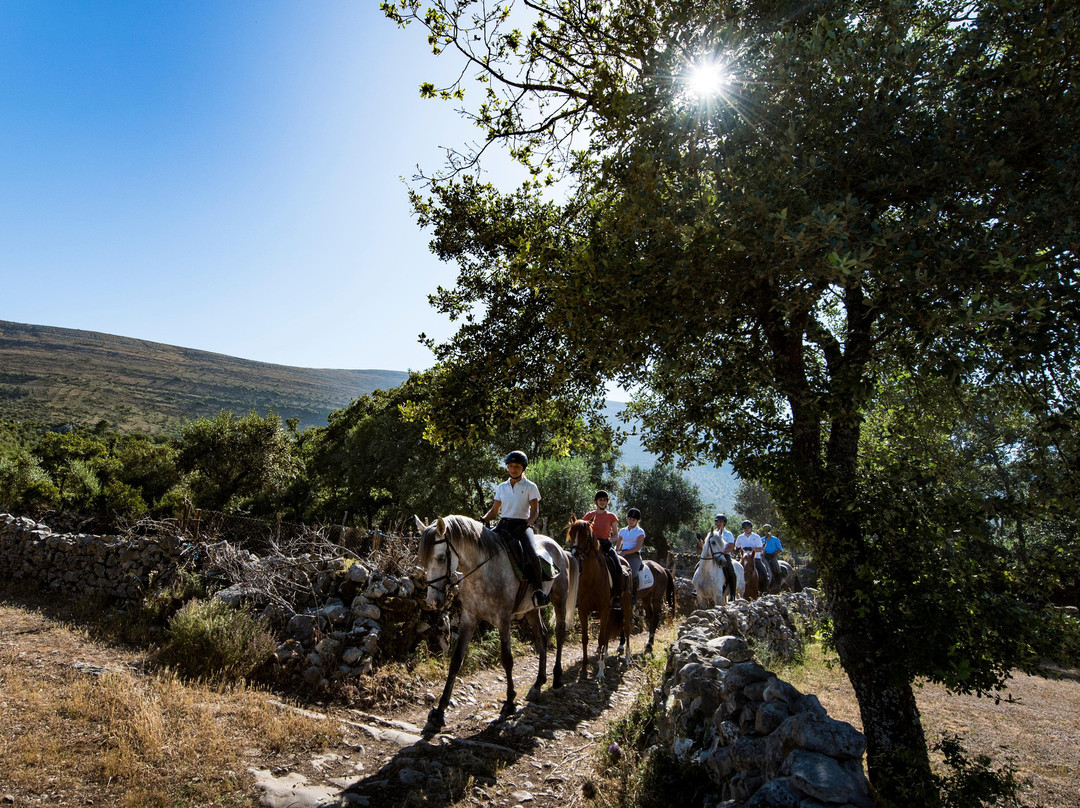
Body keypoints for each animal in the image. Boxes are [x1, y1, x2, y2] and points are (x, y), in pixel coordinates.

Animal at [565, 518, 630, 682]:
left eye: (586, 535)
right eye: (571, 533)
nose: (575, 555)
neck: (592, 578)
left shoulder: (603, 609)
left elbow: (600, 638)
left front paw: (600, 672)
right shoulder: (583, 610)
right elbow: (585, 638)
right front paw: (583, 668)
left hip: (626, 606)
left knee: (626, 628)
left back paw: (627, 657)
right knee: (607, 631)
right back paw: (605, 655)